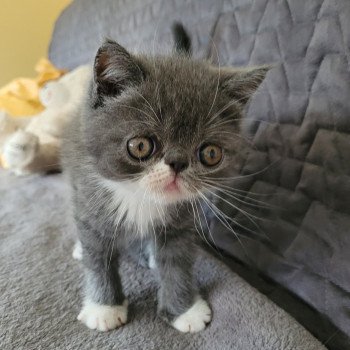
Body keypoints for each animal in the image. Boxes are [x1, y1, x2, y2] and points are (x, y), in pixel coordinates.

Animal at [61, 25, 268, 334]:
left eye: (210, 153)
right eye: (140, 146)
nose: (178, 163)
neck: (139, 197)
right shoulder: (91, 198)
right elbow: (98, 257)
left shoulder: (180, 222)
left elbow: (177, 262)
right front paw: (104, 307)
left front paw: (184, 309)